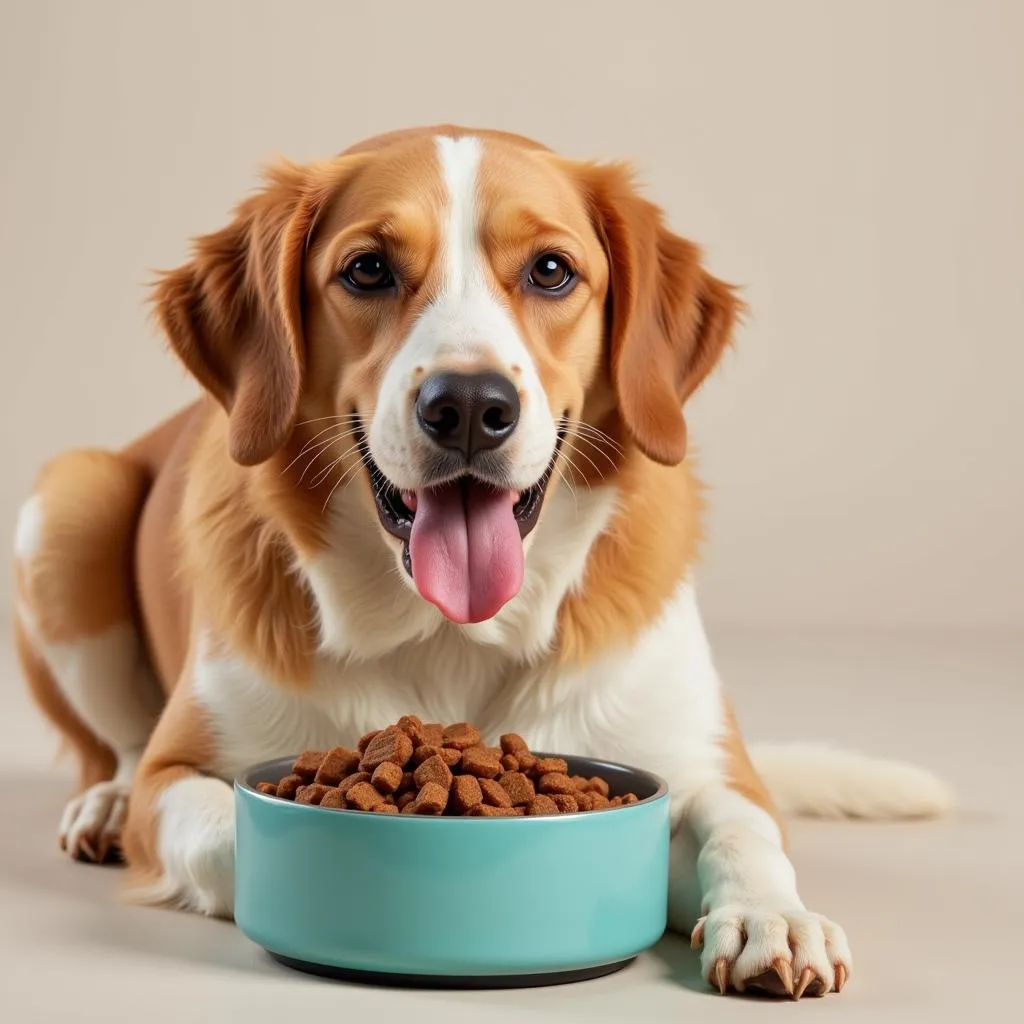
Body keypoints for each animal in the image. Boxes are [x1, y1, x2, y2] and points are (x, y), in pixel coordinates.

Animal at [9, 123, 950, 995]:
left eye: (551, 271)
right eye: (367, 270)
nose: (466, 405)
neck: (452, 633)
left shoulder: (694, 761)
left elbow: (740, 825)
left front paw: (772, 917)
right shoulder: (178, 779)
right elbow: (227, 830)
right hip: (67, 503)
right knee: (114, 749)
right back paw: (102, 803)